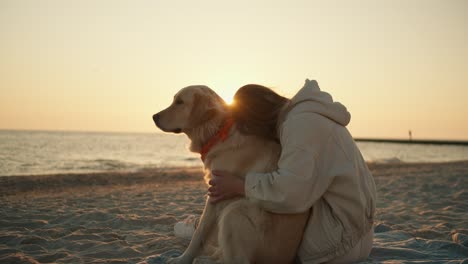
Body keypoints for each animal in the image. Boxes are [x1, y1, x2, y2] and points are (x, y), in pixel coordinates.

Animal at [152, 85, 308, 262]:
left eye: (179, 102)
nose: (154, 117)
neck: (218, 132)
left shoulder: (216, 194)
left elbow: (199, 233)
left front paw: (182, 259)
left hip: (235, 210)